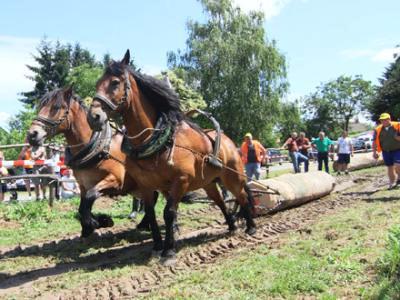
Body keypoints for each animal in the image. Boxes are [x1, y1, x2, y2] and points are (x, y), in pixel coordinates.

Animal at [26, 88, 158, 238]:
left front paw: (99, 222)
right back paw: (144, 223)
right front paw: (91, 226)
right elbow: (82, 207)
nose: (32, 134)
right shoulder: (83, 185)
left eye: (56, 107)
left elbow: (90, 198)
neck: (99, 148)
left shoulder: (115, 180)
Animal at [87, 50, 256, 264]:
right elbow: (151, 214)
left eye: (115, 83)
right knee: (220, 201)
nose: (93, 117)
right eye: (98, 83)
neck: (159, 140)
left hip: (232, 177)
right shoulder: (145, 184)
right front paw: (157, 247)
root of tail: (229, 142)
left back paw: (251, 227)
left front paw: (168, 251)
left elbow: (169, 213)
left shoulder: (180, 181)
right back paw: (232, 226)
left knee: (242, 196)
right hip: (209, 183)